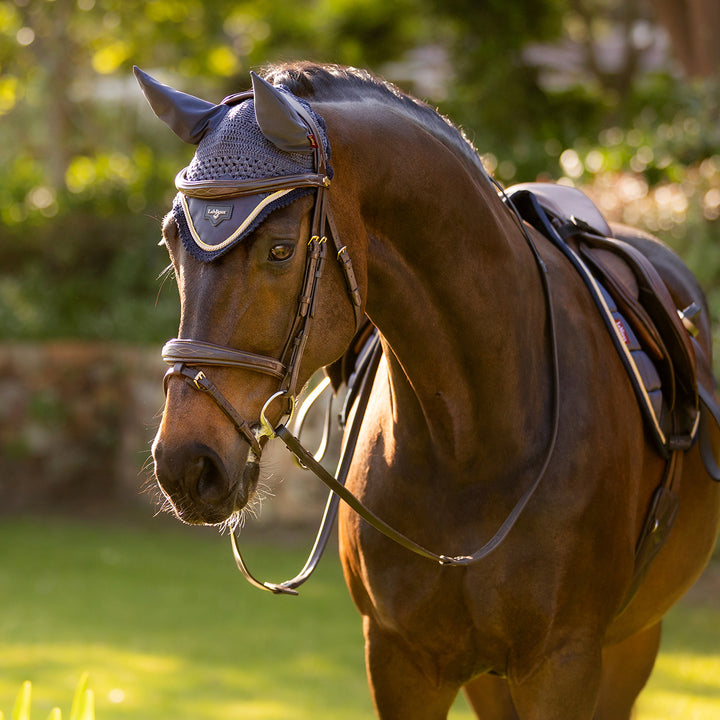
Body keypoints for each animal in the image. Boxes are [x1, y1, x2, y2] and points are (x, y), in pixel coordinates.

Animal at [136, 63, 720, 720]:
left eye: (279, 249)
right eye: (171, 242)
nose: (186, 464)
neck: (472, 439)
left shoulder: (564, 663)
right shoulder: (402, 662)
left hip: (631, 643)